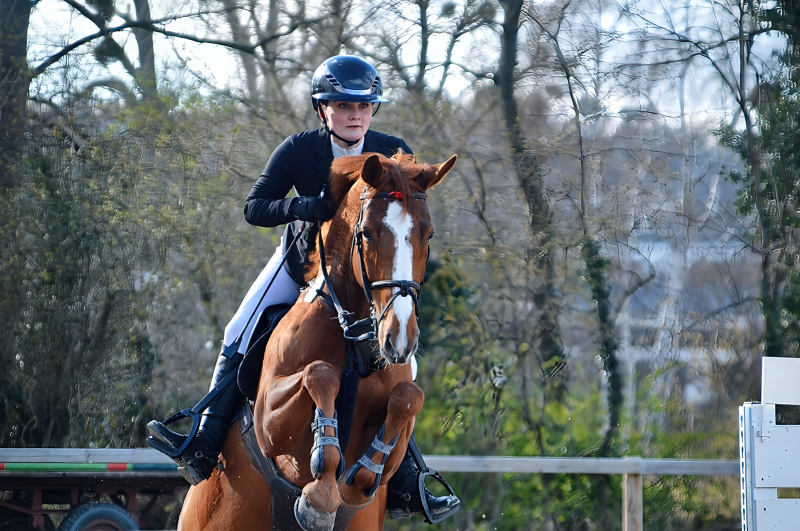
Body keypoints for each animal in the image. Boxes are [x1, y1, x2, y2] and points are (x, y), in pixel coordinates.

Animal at [179, 152, 460, 528]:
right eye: (367, 234)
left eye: (428, 235)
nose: (399, 339)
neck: (356, 339)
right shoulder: (269, 424)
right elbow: (321, 373)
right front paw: (319, 499)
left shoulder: (395, 437)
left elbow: (407, 398)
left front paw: (356, 480)